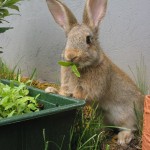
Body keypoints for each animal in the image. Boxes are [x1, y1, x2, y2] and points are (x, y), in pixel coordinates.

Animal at [46, 0, 144, 146]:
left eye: (88, 39)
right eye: (67, 39)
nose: (71, 56)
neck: (81, 68)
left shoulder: (96, 86)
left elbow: (85, 94)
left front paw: (73, 95)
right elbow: (62, 91)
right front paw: (50, 90)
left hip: (126, 115)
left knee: (130, 127)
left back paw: (122, 138)